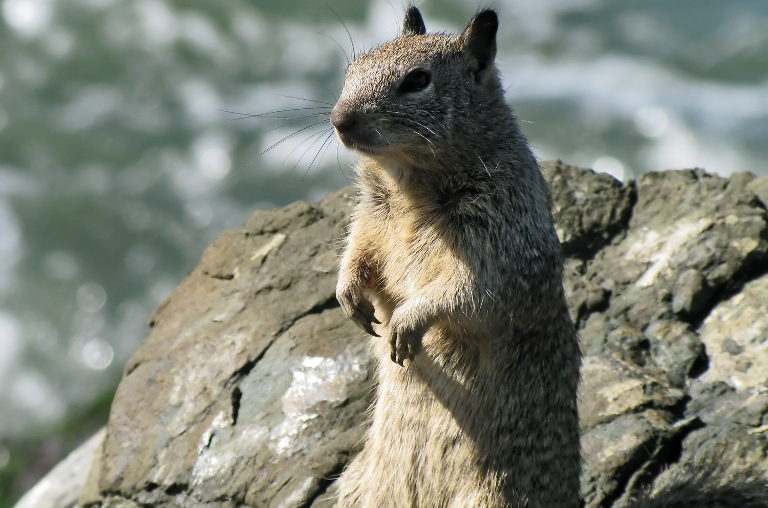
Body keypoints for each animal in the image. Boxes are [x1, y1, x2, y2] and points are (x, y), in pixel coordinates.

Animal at [331, 6, 768, 508]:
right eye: (352, 68)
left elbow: (467, 294)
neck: (408, 187)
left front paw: (406, 323)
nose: (339, 120)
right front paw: (347, 293)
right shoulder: (371, 214)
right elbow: (358, 249)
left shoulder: (501, 245)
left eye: (417, 80)